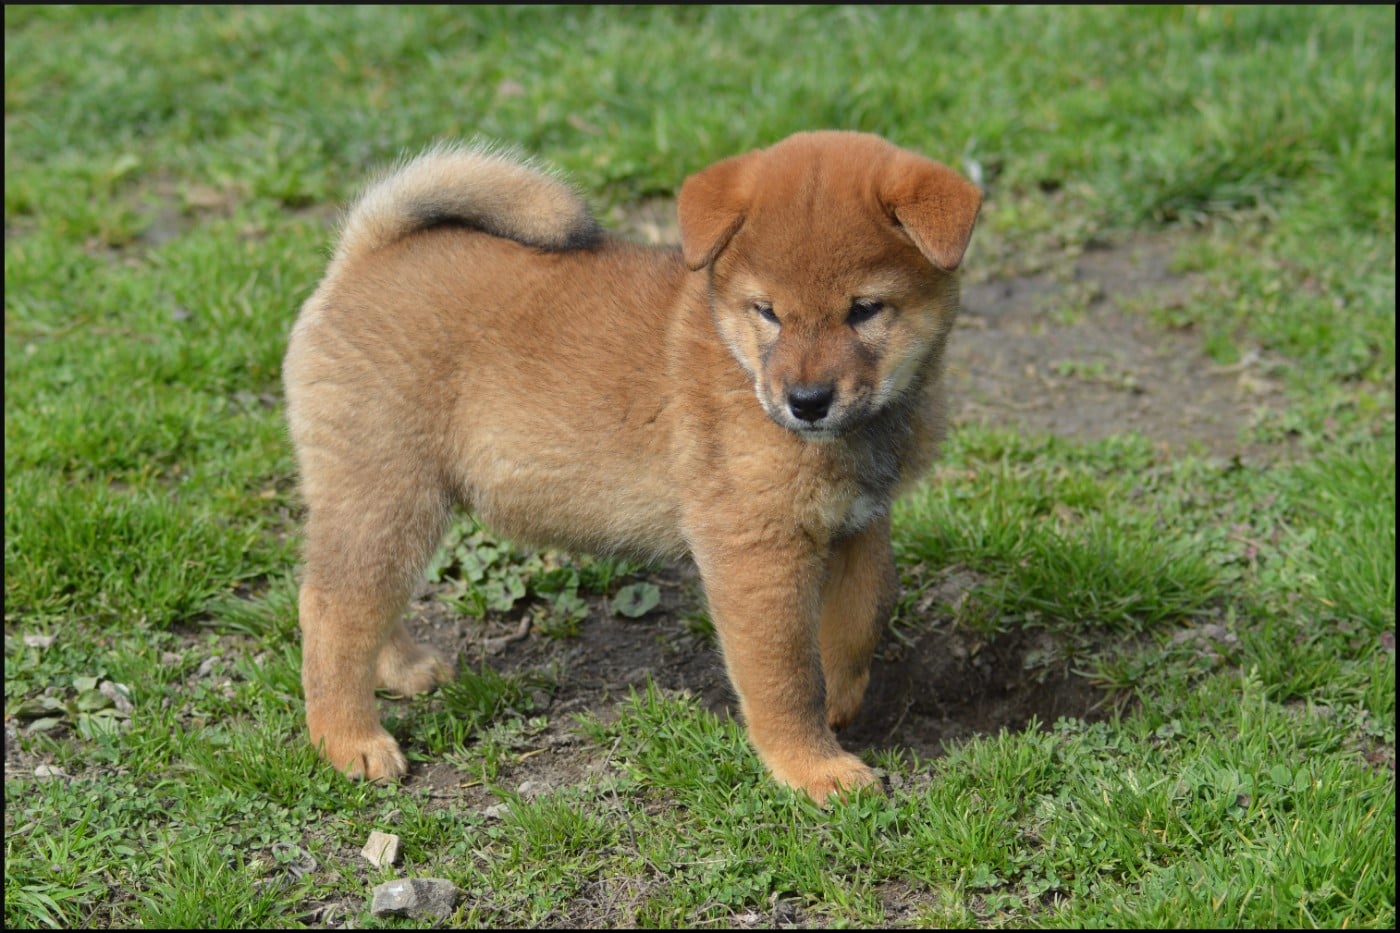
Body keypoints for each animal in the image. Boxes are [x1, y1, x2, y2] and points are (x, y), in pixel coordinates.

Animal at [283, 131, 981, 801]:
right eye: (768, 312)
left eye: (864, 309)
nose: (807, 402)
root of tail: (364, 255)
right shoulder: (757, 552)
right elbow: (784, 676)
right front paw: (812, 768)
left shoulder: (860, 521)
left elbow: (863, 615)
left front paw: (840, 700)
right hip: (387, 491)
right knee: (332, 609)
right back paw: (350, 740)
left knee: (370, 600)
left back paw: (403, 669)